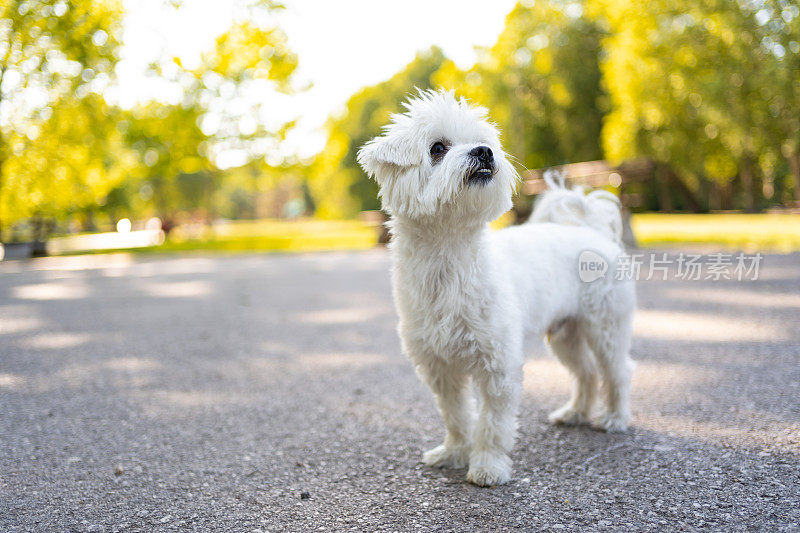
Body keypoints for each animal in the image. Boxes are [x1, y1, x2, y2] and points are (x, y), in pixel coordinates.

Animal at [360, 90, 636, 486]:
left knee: (617, 371)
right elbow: (457, 416)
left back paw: (614, 417)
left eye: (484, 142)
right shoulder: (440, 368)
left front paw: (488, 467)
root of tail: (592, 231)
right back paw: (575, 413)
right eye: (437, 148)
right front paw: (455, 453)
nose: (484, 152)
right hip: (566, 335)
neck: (450, 258)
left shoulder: (498, 364)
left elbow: (492, 423)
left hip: (606, 328)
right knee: (586, 373)